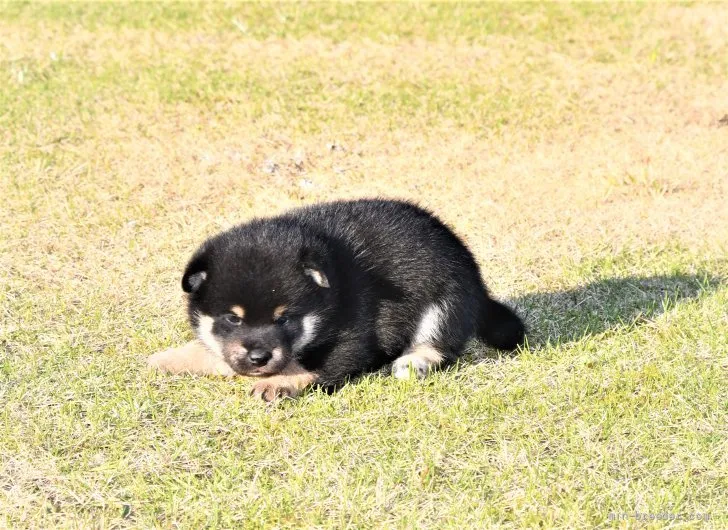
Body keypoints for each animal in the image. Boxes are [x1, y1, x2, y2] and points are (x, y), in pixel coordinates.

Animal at [148, 198, 524, 400]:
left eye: (284, 318)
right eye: (232, 318)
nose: (259, 357)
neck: (328, 300)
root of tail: (479, 285)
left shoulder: (355, 337)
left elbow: (312, 367)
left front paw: (277, 384)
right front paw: (169, 358)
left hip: (446, 301)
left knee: (440, 344)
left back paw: (414, 361)